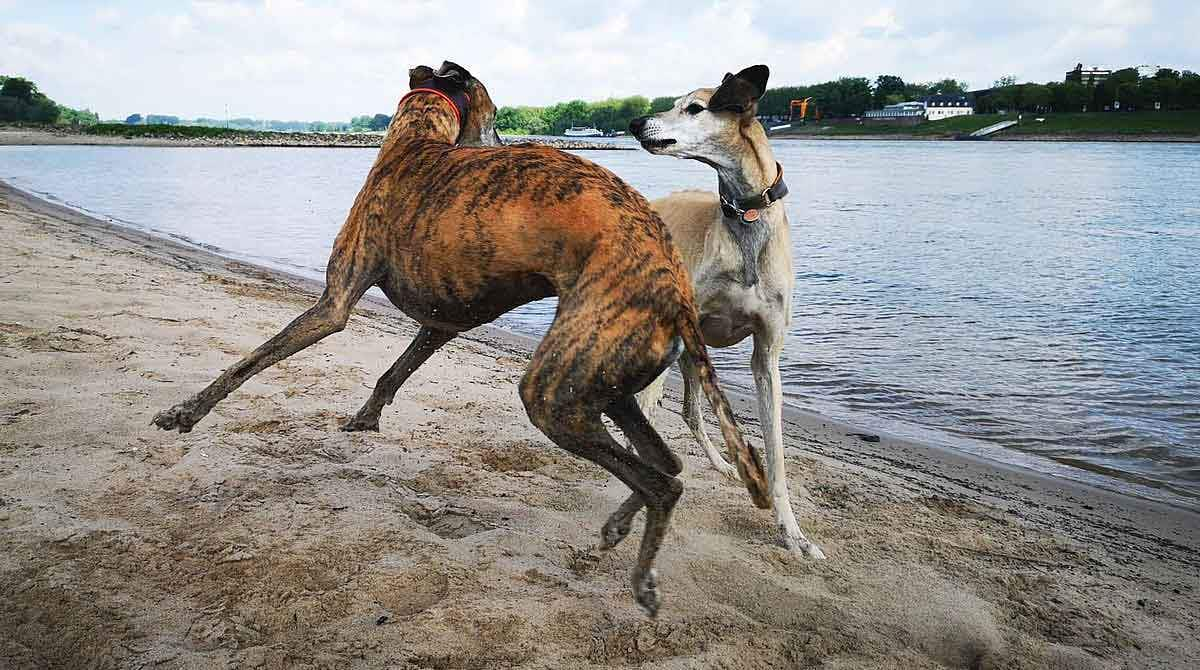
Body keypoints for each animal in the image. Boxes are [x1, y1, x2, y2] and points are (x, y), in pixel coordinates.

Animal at [154, 63, 768, 619]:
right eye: (496, 119)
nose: (502, 142)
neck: (416, 146)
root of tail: (676, 289)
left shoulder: (334, 304)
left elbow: (252, 360)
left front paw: (186, 412)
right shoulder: (444, 320)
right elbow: (394, 371)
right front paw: (365, 418)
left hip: (553, 389)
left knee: (663, 482)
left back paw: (642, 580)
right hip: (599, 381)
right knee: (668, 463)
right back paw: (619, 524)